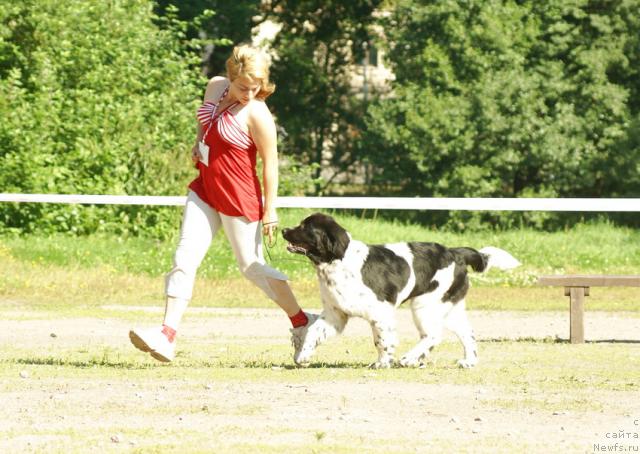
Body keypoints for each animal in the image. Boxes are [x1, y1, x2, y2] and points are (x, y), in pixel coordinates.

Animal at [282, 214, 520, 368]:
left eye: (305, 227)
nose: (283, 230)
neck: (339, 261)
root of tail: (456, 253)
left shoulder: (380, 312)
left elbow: (382, 340)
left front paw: (382, 363)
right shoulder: (335, 314)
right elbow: (314, 332)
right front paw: (303, 356)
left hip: (425, 304)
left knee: (433, 335)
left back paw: (408, 359)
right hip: (448, 307)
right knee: (466, 333)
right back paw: (467, 361)